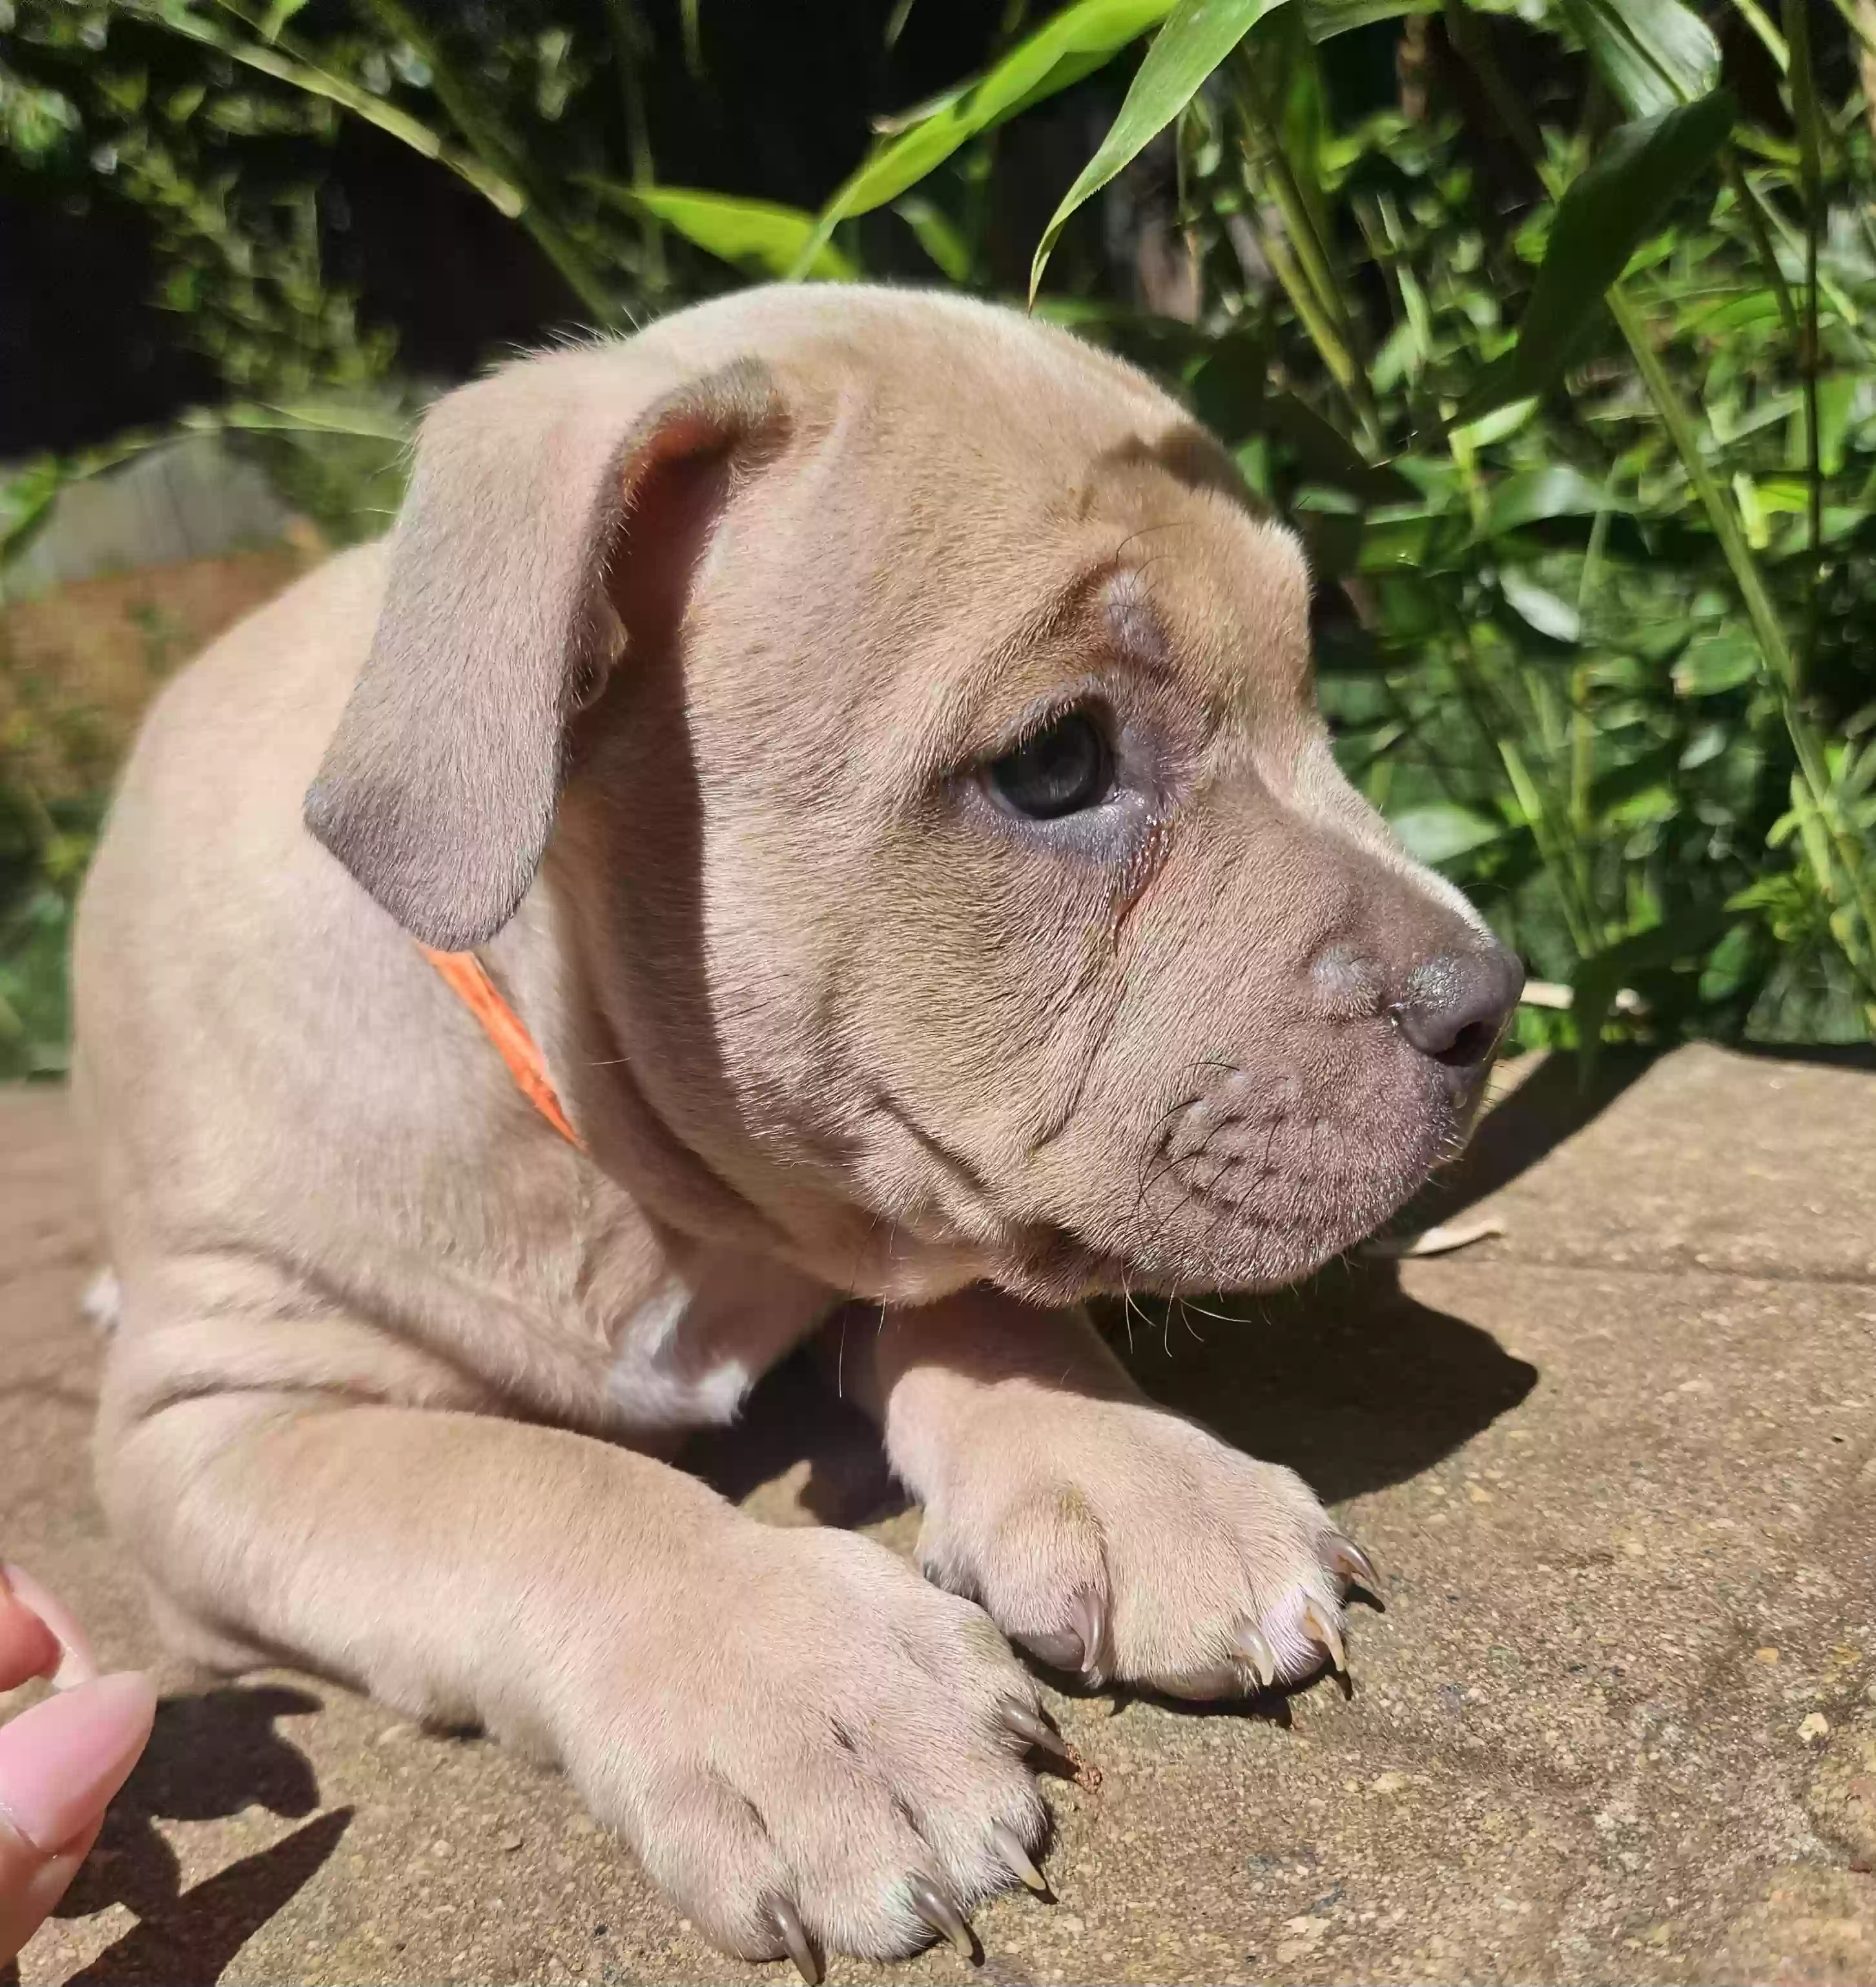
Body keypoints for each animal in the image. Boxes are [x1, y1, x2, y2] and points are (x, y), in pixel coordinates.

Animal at [69, 284, 1526, 1971]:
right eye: (1056, 763)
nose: (1490, 996)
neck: (623, 1172)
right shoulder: (217, 1421)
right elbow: (522, 1486)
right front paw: (812, 1696)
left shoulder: (889, 1186)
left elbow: (985, 1300)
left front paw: (1144, 1477)